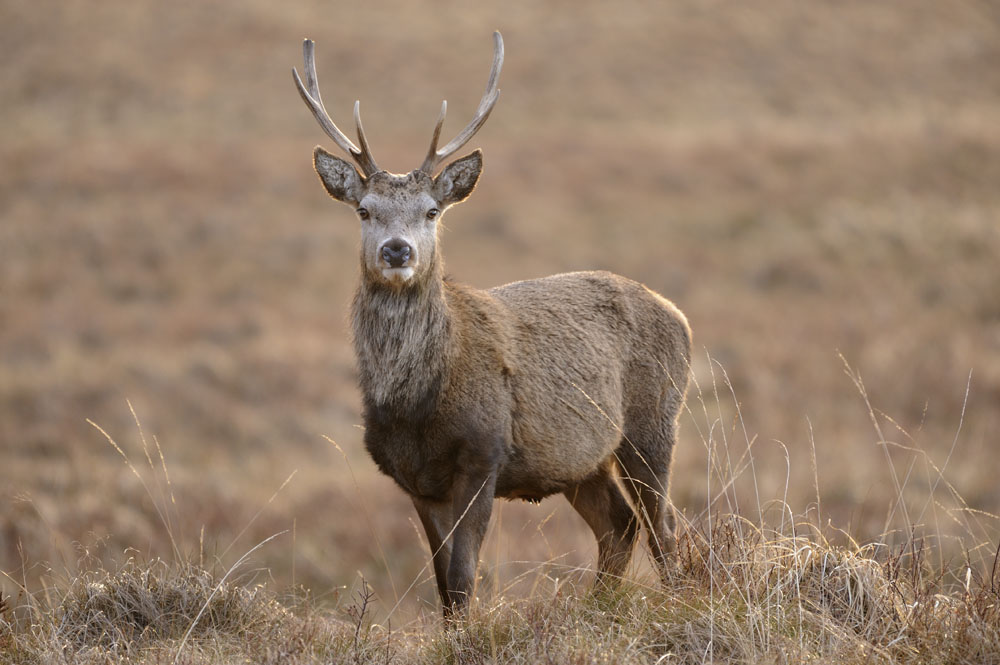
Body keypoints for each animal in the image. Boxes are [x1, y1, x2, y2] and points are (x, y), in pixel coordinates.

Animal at [293, 31, 692, 618]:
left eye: (432, 210)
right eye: (364, 210)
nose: (397, 250)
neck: (418, 403)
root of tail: (680, 316)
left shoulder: (484, 453)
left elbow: (463, 578)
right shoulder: (415, 480)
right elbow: (443, 587)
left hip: (653, 423)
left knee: (665, 528)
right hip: (579, 460)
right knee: (619, 525)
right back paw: (596, 608)